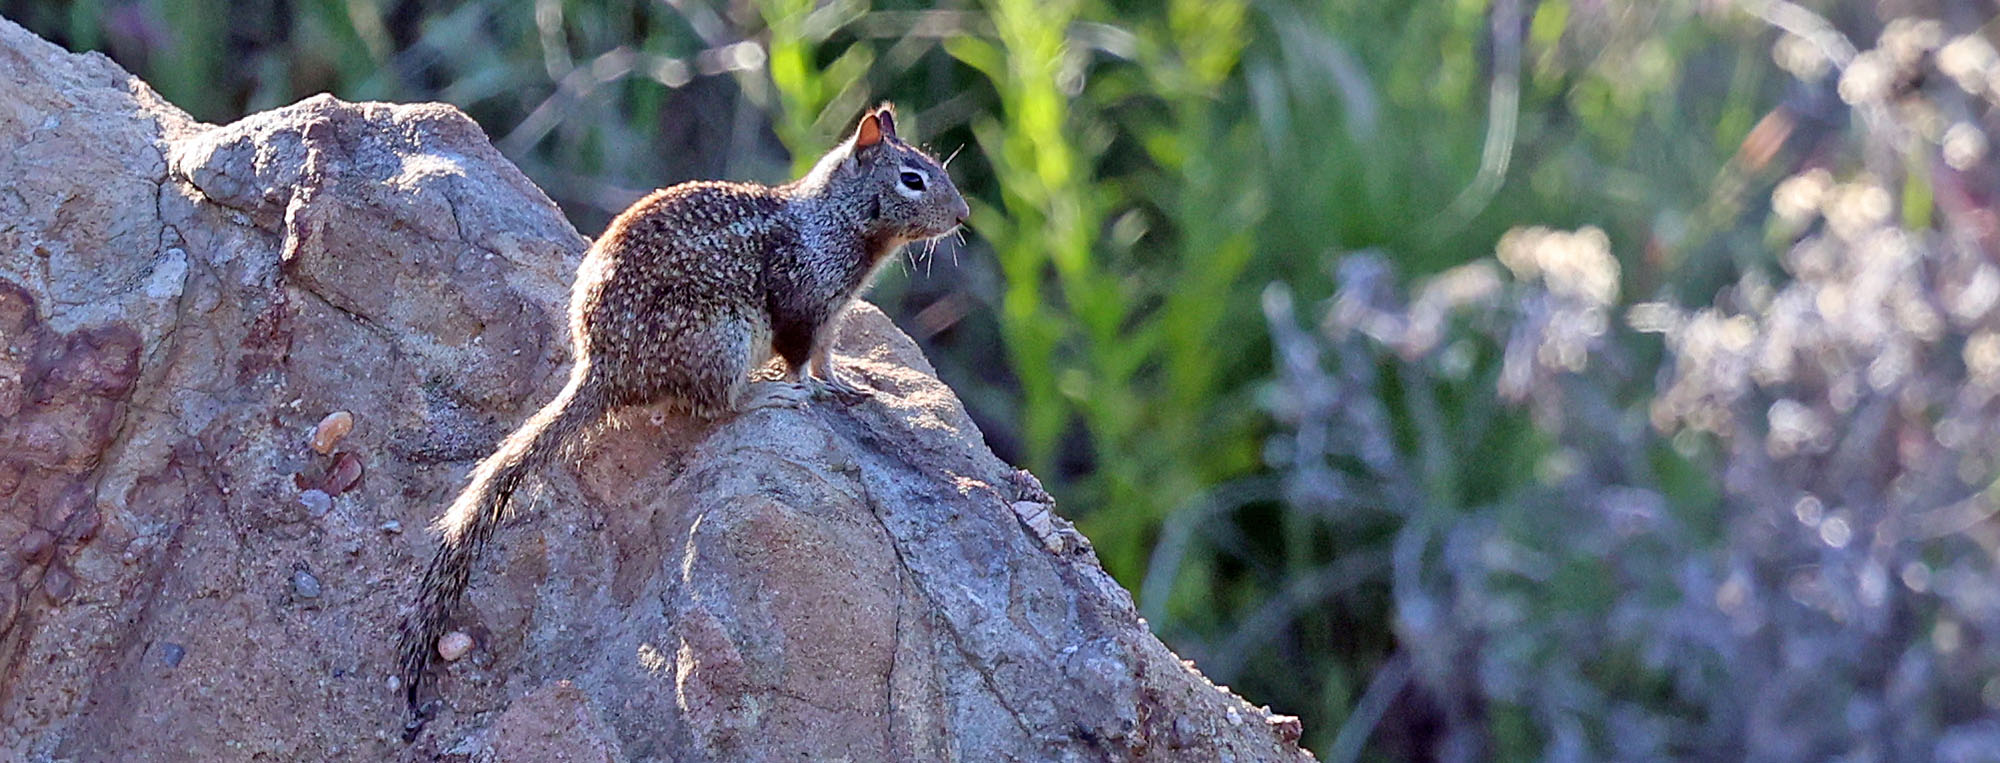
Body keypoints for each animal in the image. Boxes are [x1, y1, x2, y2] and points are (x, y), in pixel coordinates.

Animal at [392, 102, 968, 723]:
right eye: (913, 179)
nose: (964, 215)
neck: (830, 221)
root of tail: (602, 369)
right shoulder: (801, 305)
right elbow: (799, 361)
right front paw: (805, 390)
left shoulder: (831, 317)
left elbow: (828, 357)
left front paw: (850, 385)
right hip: (723, 335)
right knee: (715, 404)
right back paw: (762, 396)